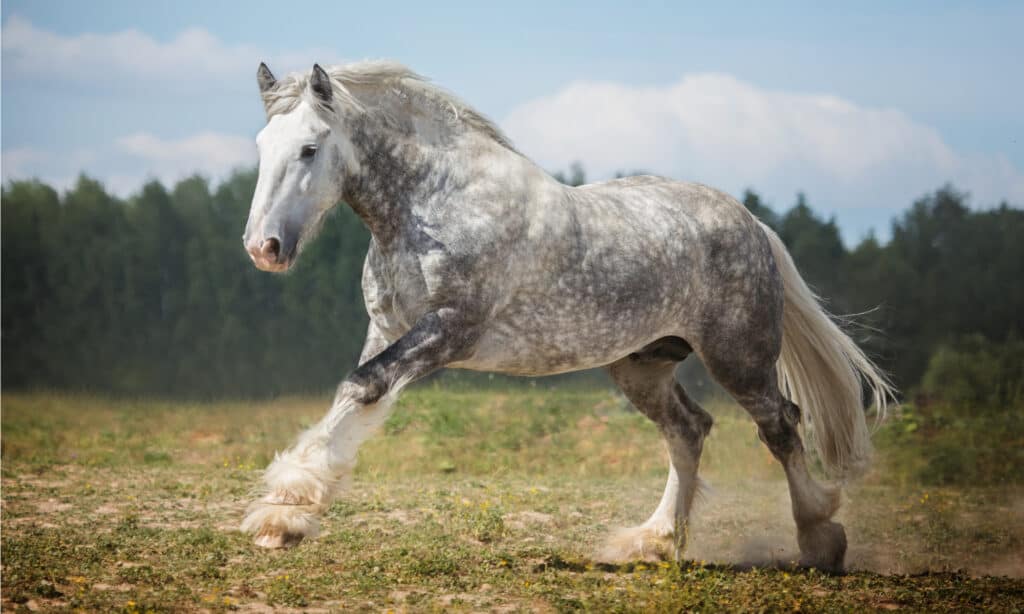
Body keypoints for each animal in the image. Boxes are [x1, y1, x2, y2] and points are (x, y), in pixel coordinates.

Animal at [241, 61, 897, 568]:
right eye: (261, 148)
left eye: (309, 148)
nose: (263, 248)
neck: (434, 204)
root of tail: (752, 222)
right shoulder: (388, 330)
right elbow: (355, 397)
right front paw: (282, 520)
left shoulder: (450, 330)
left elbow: (362, 387)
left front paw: (287, 499)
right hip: (641, 365)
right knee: (689, 430)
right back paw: (654, 542)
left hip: (738, 357)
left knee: (780, 425)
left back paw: (820, 539)